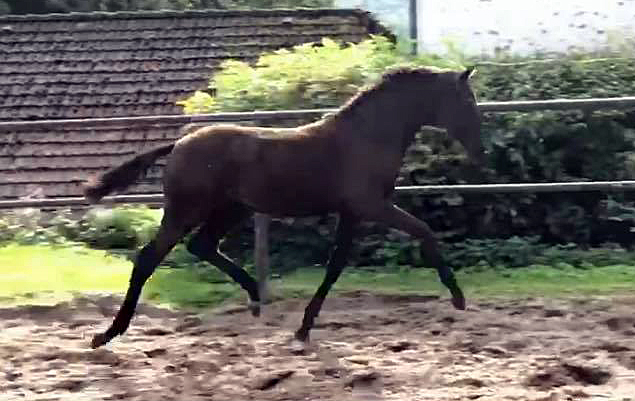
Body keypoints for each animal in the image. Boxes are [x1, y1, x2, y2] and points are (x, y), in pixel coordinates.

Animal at [84, 65, 482, 346]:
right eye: (466, 101)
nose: (480, 147)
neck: (365, 137)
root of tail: (179, 144)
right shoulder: (371, 205)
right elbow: (424, 231)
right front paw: (459, 298)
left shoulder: (352, 212)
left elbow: (335, 266)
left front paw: (304, 328)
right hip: (187, 211)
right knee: (148, 258)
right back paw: (108, 334)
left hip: (232, 209)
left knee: (202, 245)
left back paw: (256, 298)